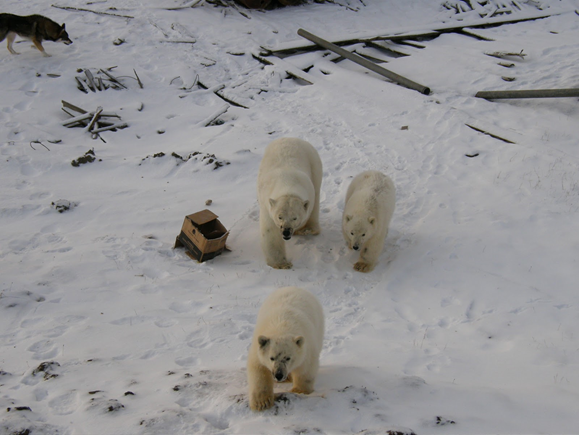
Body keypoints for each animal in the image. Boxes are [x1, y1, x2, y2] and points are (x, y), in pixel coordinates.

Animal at [258, 138, 322, 270]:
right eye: (280, 217)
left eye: (294, 217)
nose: (286, 232)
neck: (288, 183)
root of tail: (292, 138)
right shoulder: (267, 205)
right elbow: (270, 231)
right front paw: (282, 264)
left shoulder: (309, 191)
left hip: (314, 164)